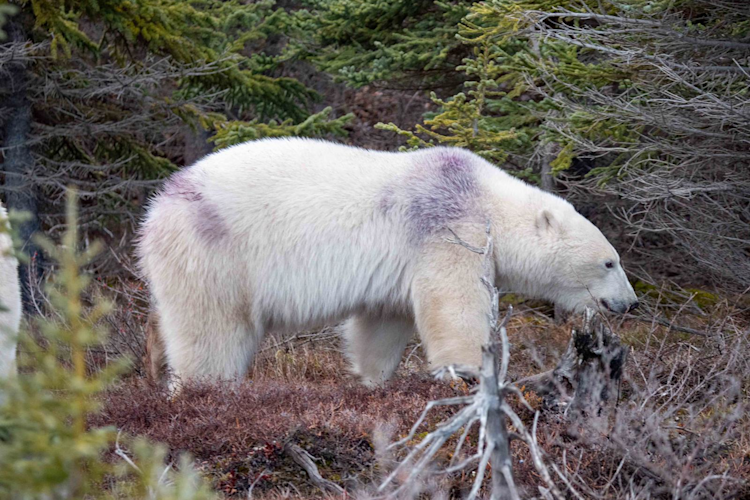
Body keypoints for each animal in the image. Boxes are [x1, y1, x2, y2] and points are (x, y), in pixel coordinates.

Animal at [138, 138, 638, 388]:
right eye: (610, 263)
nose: (630, 303)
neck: (484, 198)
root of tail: (159, 203)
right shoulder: (449, 230)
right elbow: (453, 304)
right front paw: (469, 372)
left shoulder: (404, 264)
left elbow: (384, 321)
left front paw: (371, 379)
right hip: (214, 251)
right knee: (212, 328)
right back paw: (206, 386)